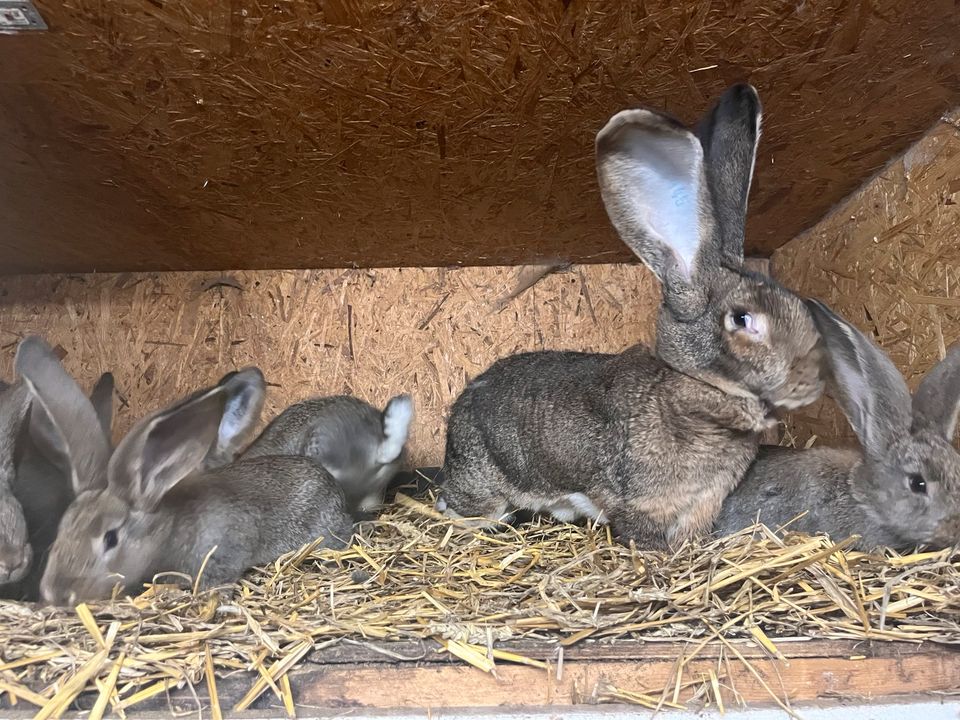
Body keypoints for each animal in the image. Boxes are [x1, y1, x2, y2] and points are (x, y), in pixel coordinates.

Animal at [438, 83, 820, 552]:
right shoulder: (639, 502)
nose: (810, 381)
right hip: (484, 486)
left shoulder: (703, 502)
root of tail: (457, 413)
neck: (696, 391)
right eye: (743, 320)